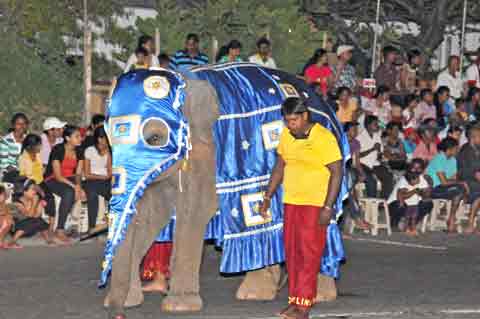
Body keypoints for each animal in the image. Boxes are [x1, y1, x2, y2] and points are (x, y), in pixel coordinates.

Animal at [101, 63, 348, 319]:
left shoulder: (206, 148)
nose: (117, 314)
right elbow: (152, 213)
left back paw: (319, 296)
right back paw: (256, 294)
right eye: (108, 137)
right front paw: (128, 301)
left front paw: (179, 307)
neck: (187, 82)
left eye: (155, 138)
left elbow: (195, 212)